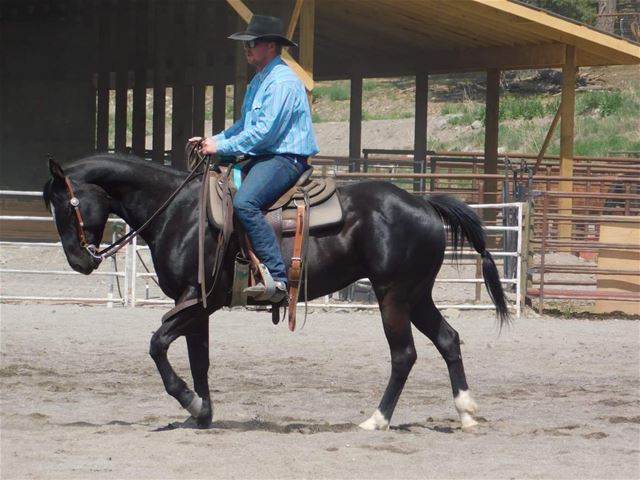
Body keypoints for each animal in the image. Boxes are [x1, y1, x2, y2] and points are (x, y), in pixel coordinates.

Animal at [42, 154, 508, 432]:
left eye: (66, 205)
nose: (79, 261)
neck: (181, 212)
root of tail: (425, 204)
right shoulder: (197, 306)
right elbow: (199, 359)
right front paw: (203, 414)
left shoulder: (195, 302)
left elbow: (158, 345)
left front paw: (190, 403)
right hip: (416, 296)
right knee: (448, 339)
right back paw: (466, 414)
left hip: (393, 296)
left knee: (404, 355)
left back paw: (375, 420)